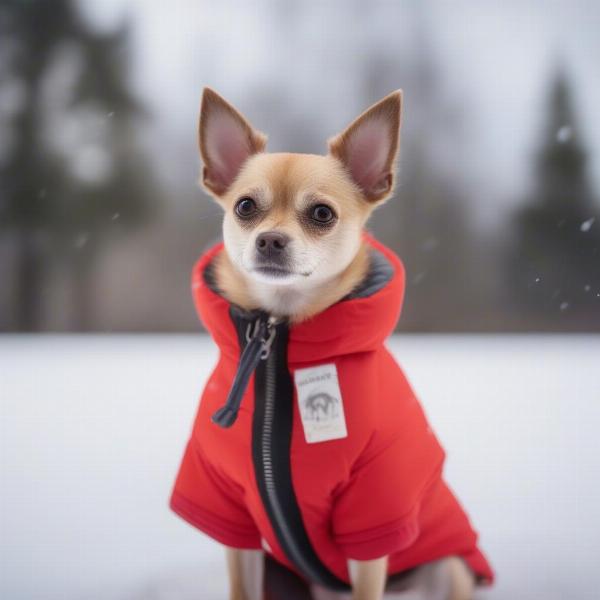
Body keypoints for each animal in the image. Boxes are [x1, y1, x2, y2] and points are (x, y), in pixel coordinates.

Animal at [168, 89, 492, 600]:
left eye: (322, 213)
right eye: (245, 206)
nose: (270, 240)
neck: (278, 329)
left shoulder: (373, 514)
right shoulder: (233, 518)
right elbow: (241, 587)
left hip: (448, 567)